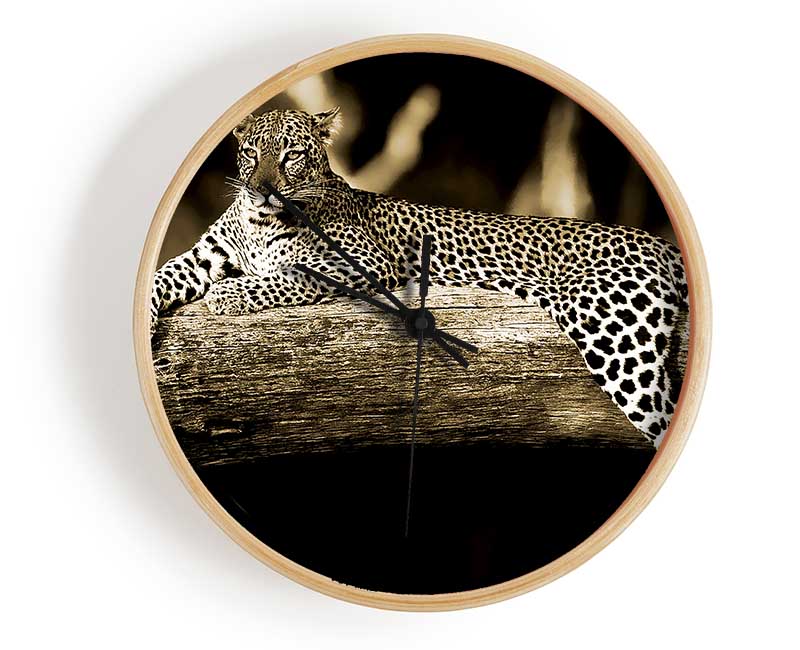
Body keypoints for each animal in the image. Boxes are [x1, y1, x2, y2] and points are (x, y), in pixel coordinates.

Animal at [150, 107, 689, 448]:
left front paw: (230, 293)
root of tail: (660, 243)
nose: (262, 190)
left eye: (291, 156)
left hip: (613, 334)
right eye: (252, 153)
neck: (260, 222)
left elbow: (289, 274)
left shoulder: (362, 263)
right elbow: (159, 277)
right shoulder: (205, 254)